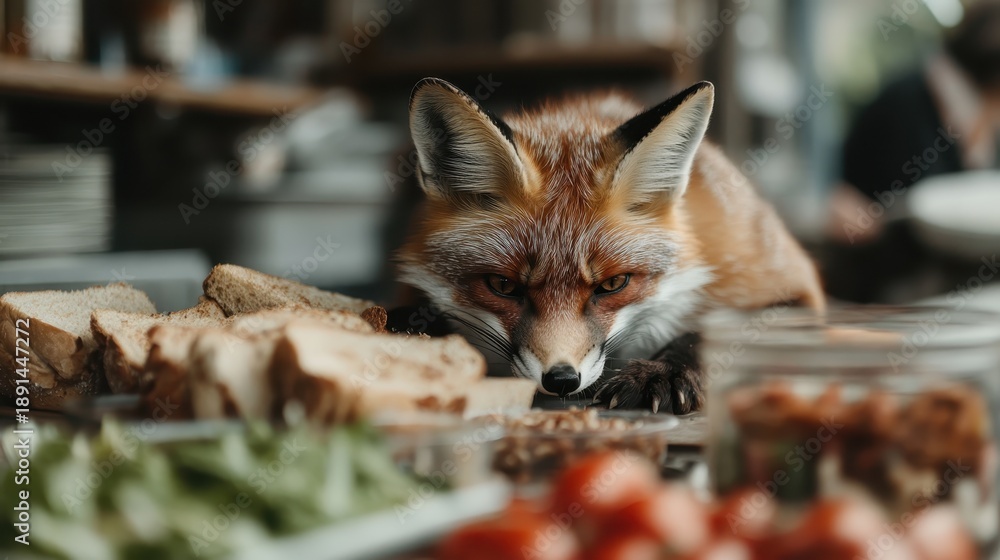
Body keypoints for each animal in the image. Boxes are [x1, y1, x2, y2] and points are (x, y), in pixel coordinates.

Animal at [395, 78, 824, 414]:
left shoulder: (789, 292)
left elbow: (708, 333)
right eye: (502, 286)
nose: (562, 380)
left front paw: (663, 372)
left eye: (613, 284)